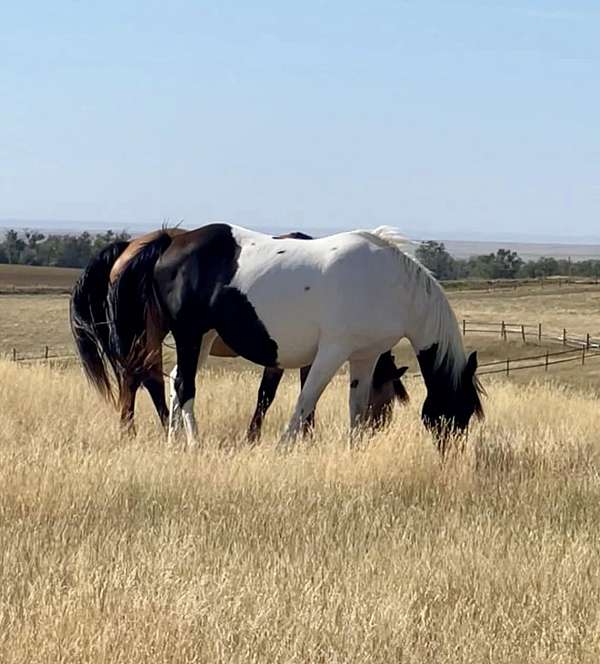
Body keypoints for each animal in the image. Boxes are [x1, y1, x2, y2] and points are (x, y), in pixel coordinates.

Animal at [69, 228, 408, 440]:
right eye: (387, 399)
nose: (376, 429)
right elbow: (270, 395)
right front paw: (273, 436)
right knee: (142, 378)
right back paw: (146, 429)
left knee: (145, 377)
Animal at [106, 224, 482, 452]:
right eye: (458, 411)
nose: (451, 455)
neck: (389, 284)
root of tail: (170, 243)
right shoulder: (331, 352)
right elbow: (305, 401)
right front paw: (283, 447)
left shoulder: (364, 356)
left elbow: (356, 406)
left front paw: (353, 447)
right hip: (189, 334)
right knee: (183, 386)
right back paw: (195, 446)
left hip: (203, 338)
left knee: (173, 382)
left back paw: (174, 443)